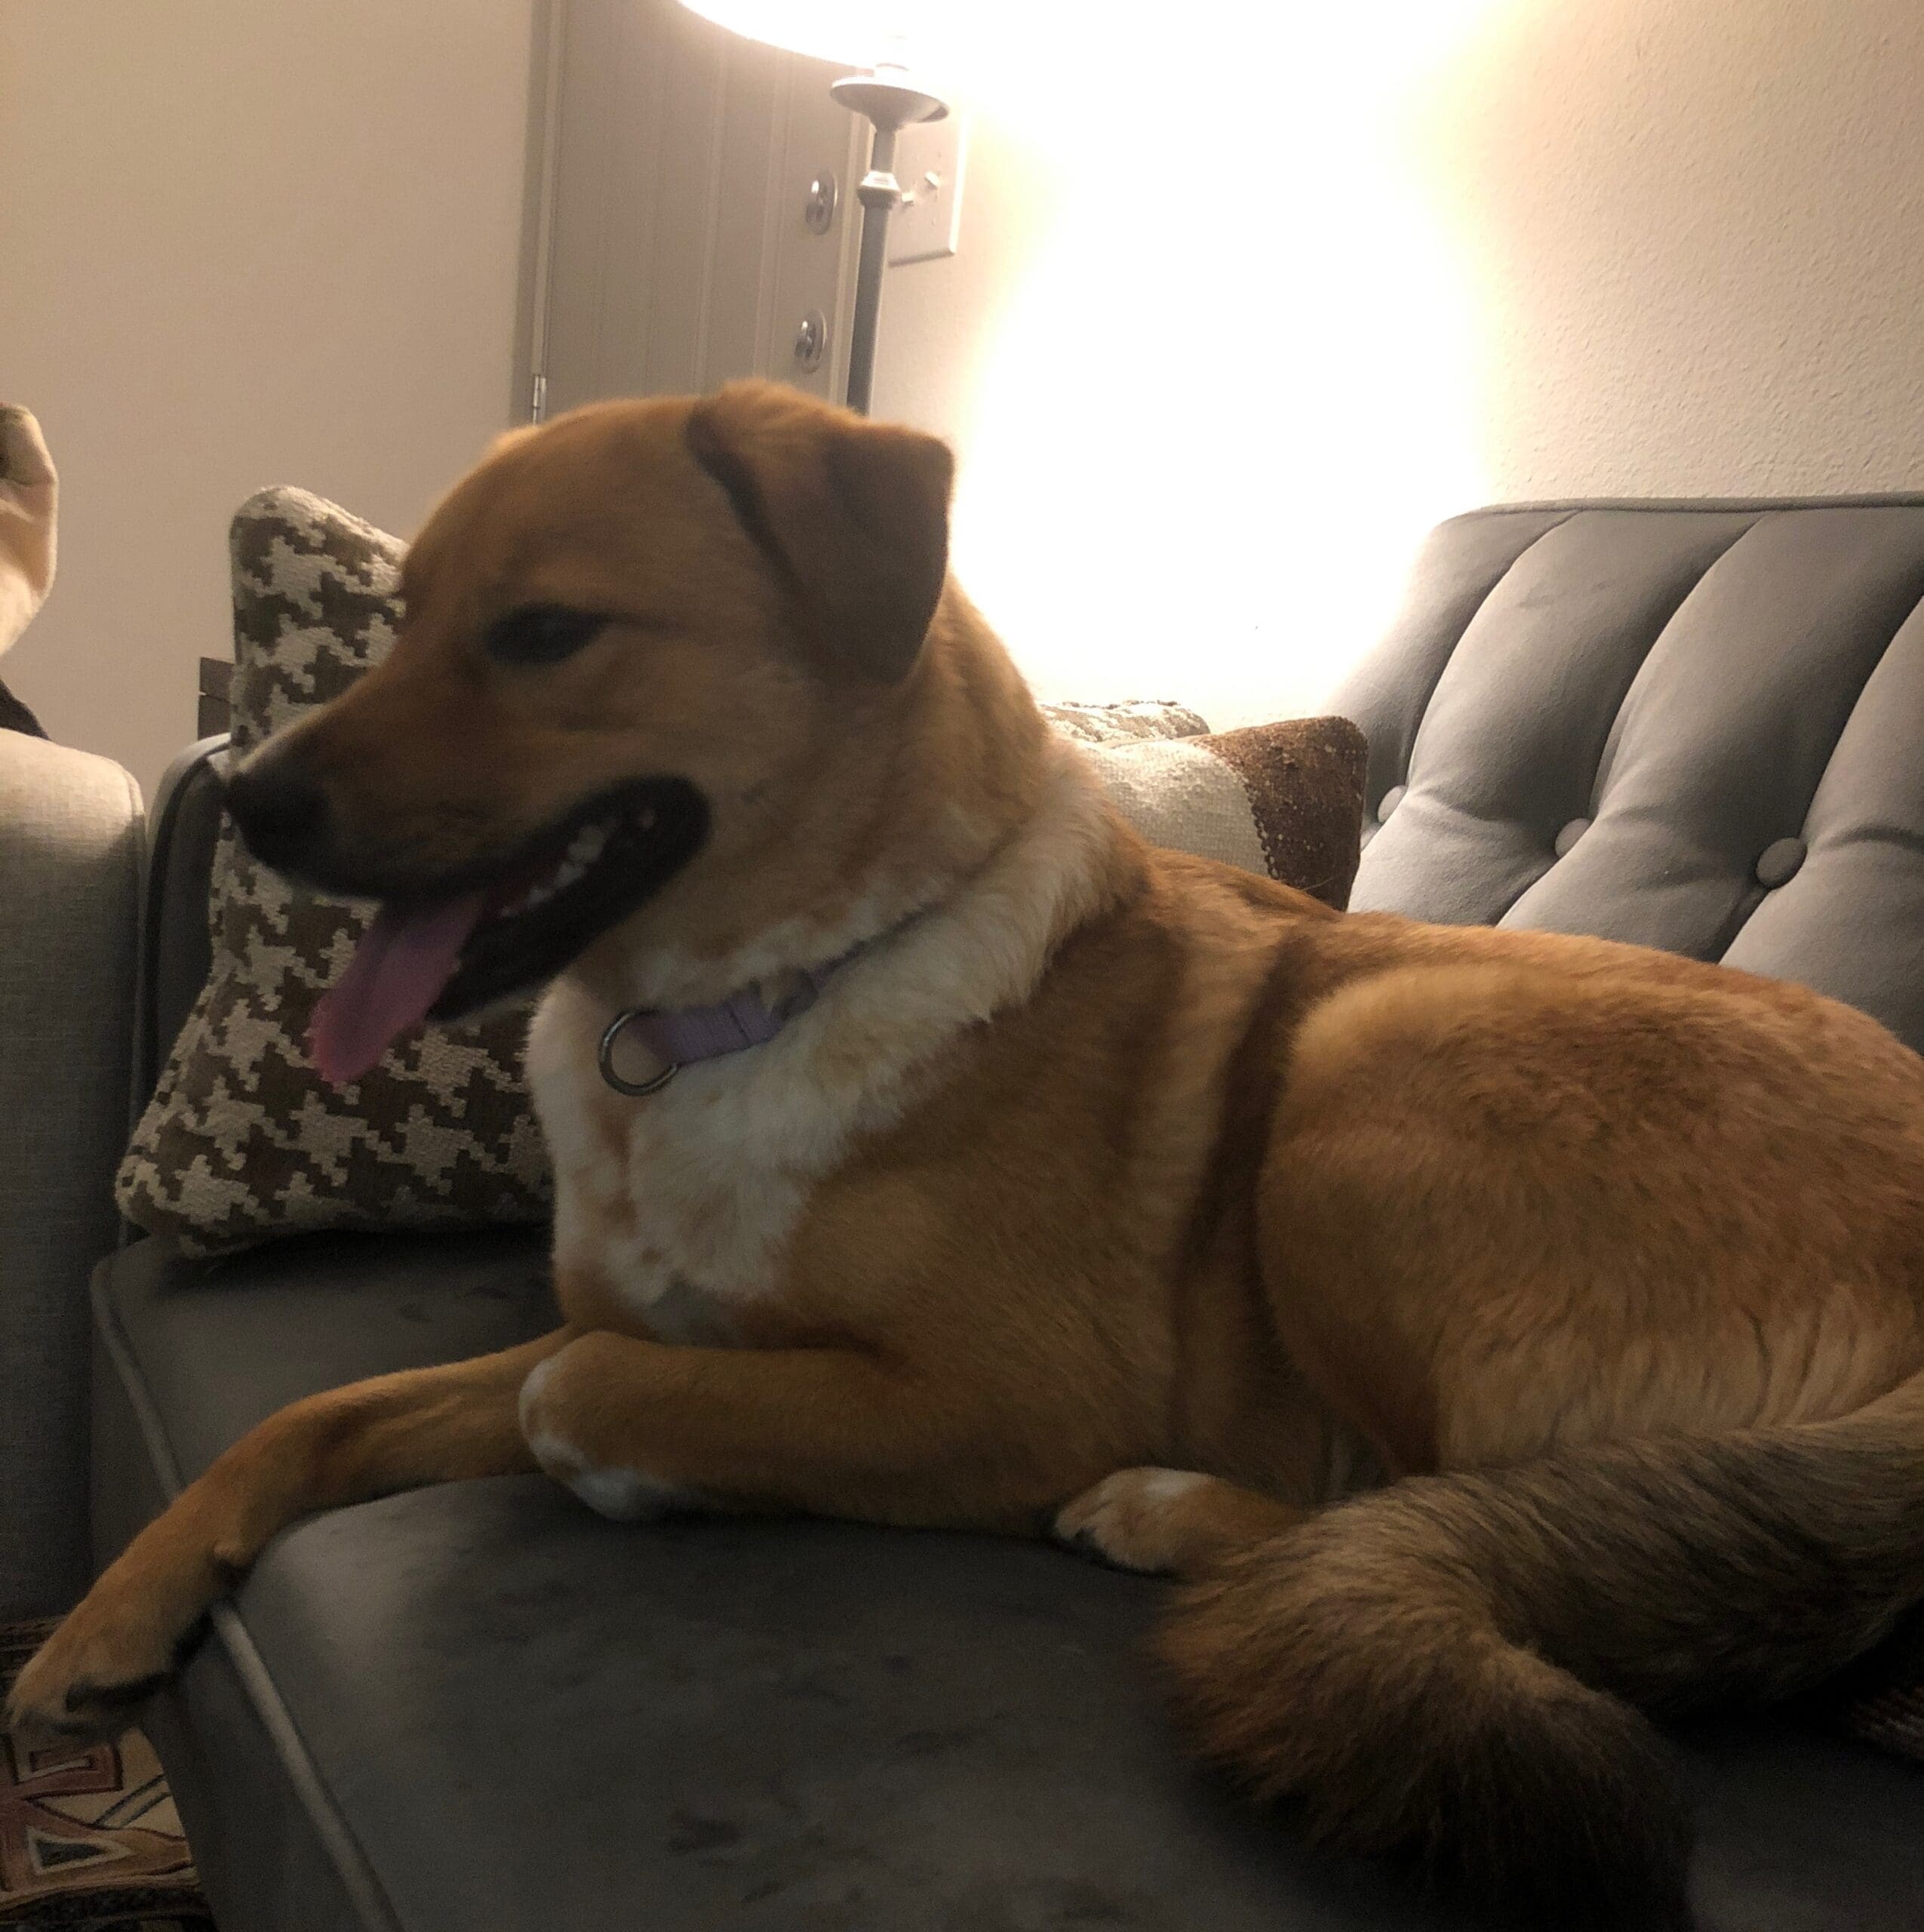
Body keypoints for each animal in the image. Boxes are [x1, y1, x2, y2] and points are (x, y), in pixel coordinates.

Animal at [14, 384, 1924, 1924]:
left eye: (547, 629)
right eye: (400, 618)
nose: (251, 800)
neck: (737, 1007)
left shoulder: (995, 1397)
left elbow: (580, 1396)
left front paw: (648, 1471)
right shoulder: (608, 1318)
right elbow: (317, 1411)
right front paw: (105, 1618)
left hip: (1366, 1066)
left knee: (1439, 1518)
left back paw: (1172, 1509)